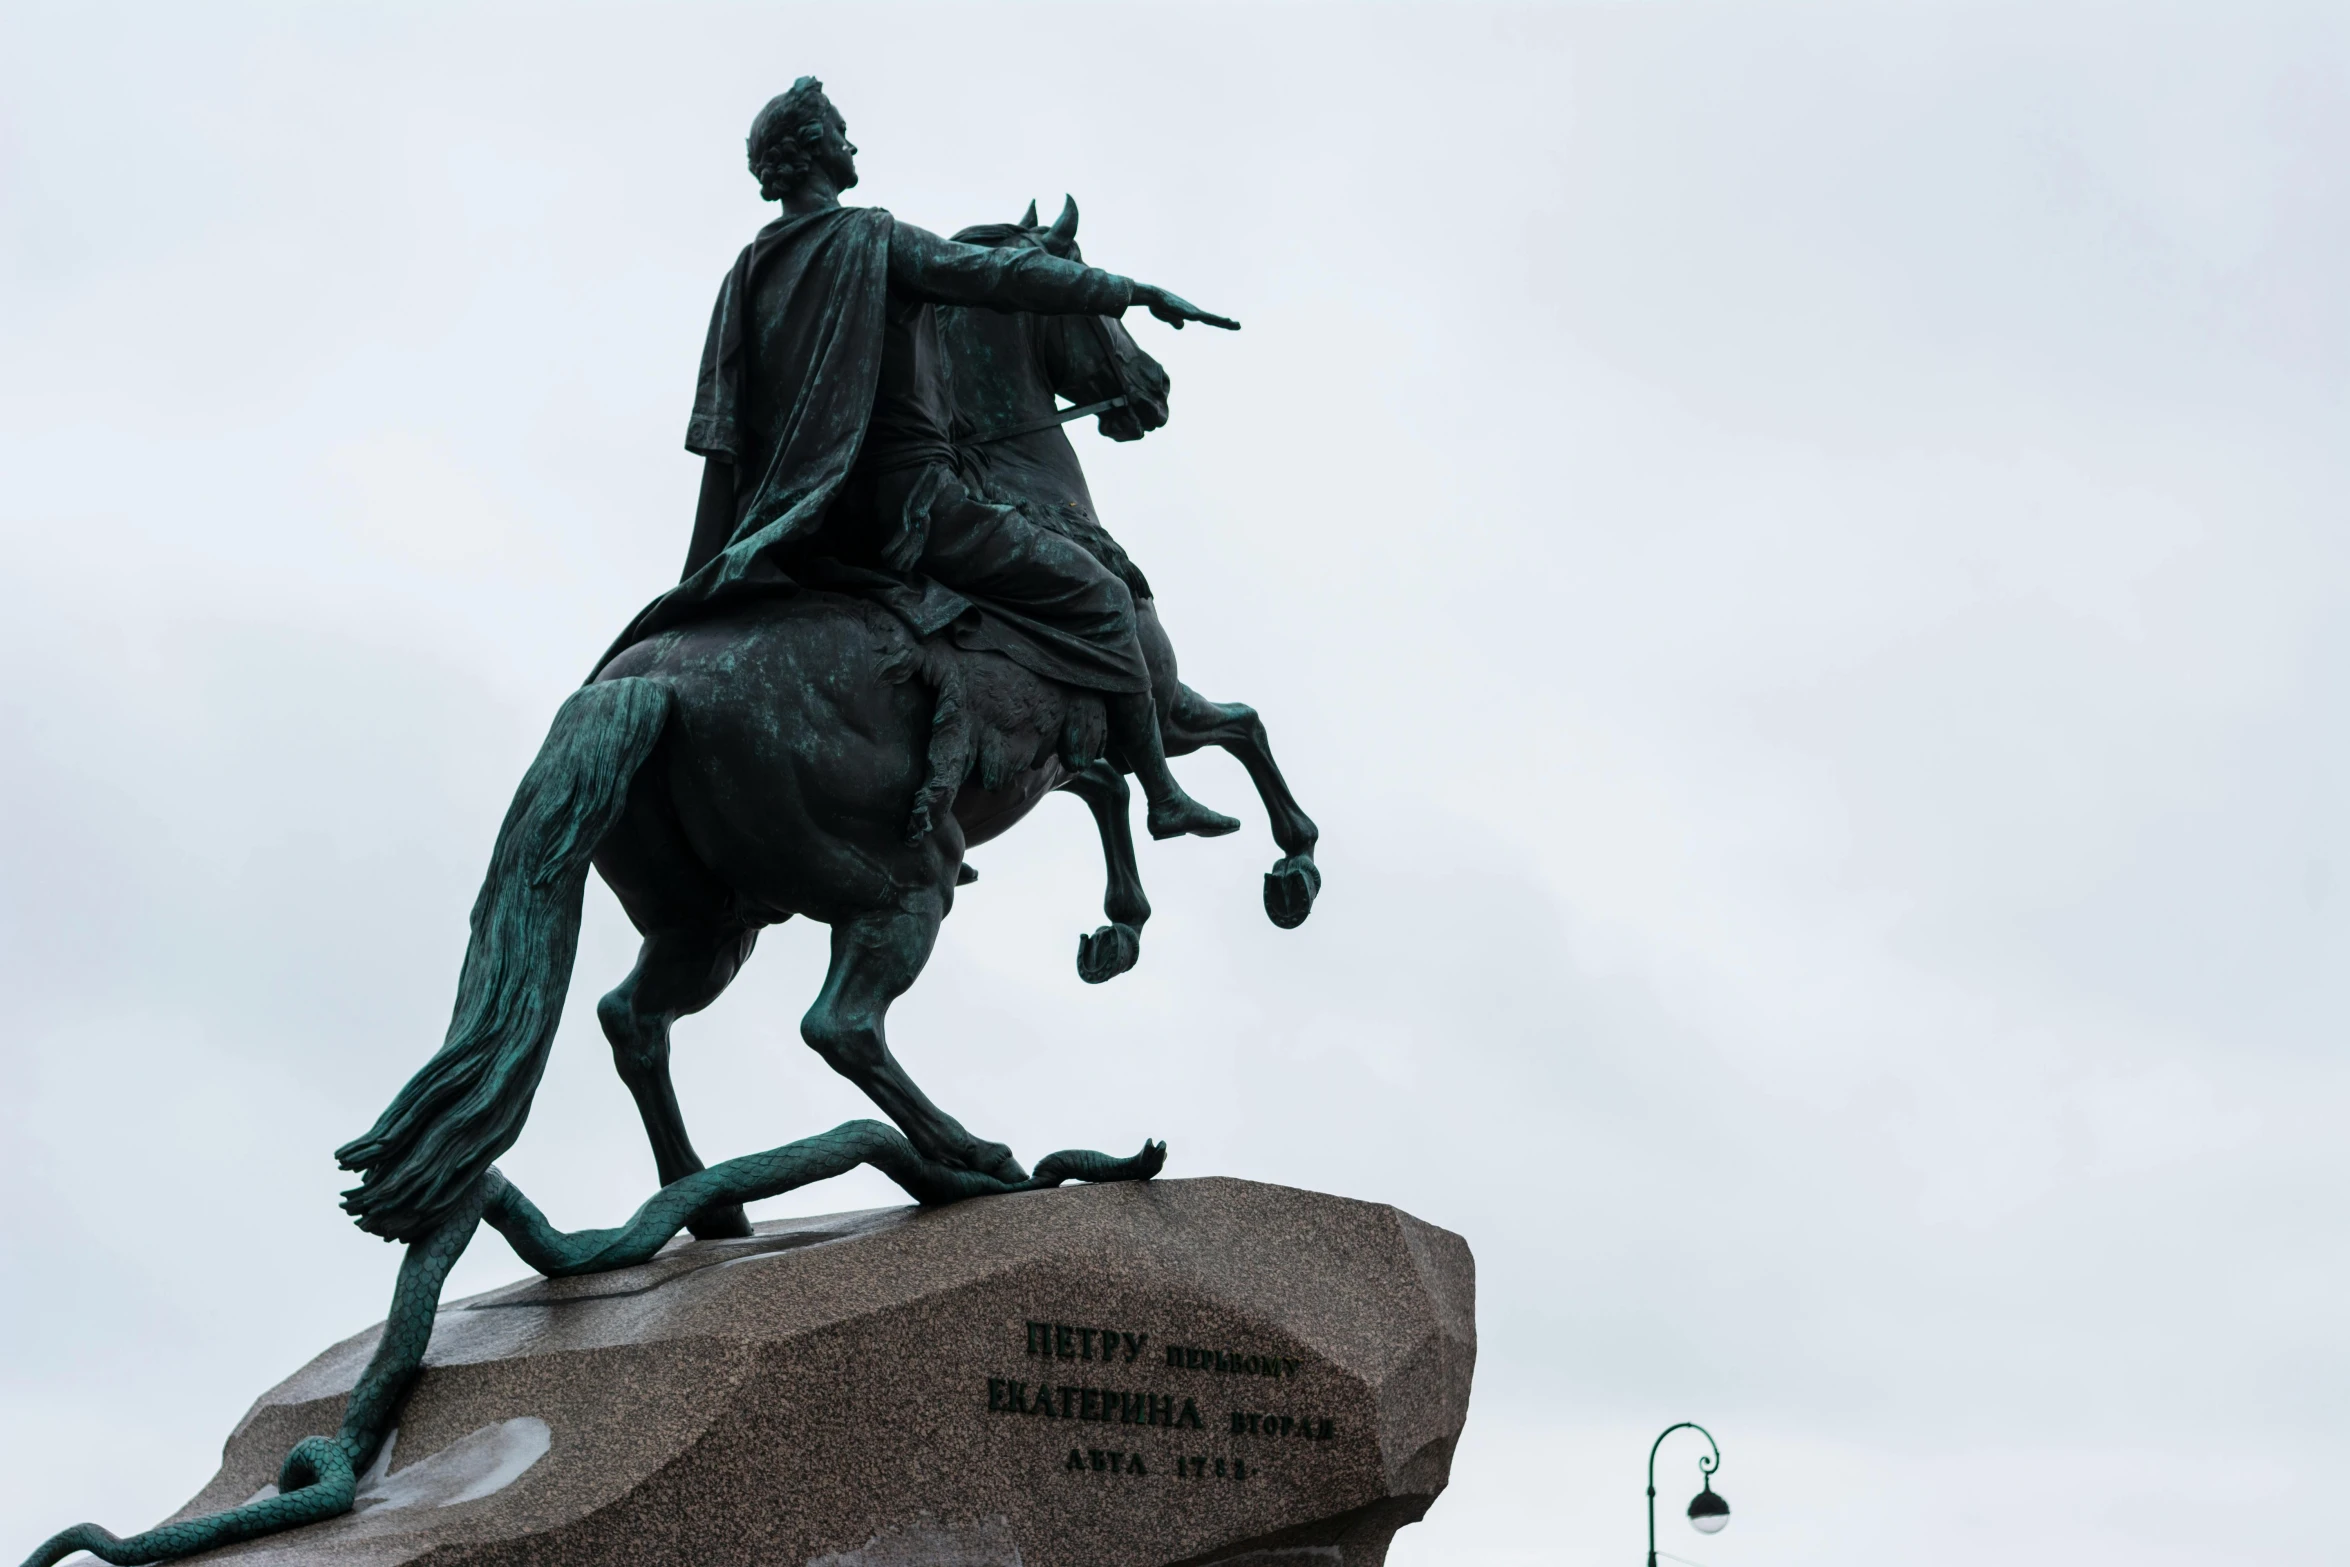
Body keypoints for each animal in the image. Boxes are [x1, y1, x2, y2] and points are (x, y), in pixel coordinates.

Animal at [331, 199, 1325, 1249]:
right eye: (1101, 311)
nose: (1154, 388)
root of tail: (642, 688)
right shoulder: (1148, 684)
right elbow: (1231, 733)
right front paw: (1278, 863)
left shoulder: (1045, 751)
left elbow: (1109, 789)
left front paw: (1117, 929)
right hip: (898, 883)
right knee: (839, 1027)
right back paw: (974, 1154)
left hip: (710, 917)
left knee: (631, 1020)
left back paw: (713, 1201)